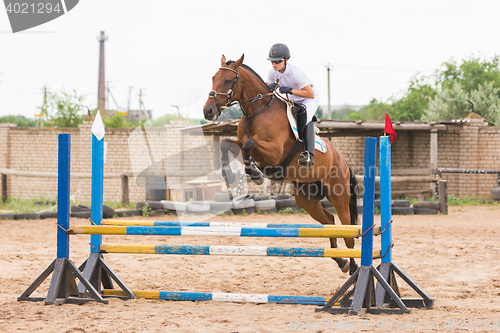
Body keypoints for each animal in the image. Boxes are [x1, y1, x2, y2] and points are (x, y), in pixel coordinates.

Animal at [203, 53, 360, 272]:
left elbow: (250, 144)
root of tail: (343, 161)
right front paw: (232, 175)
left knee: (348, 231)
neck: (257, 111)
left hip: (339, 196)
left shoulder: (274, 152)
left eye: (228, 80)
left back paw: (353, 267)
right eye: (213, 78)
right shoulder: (239, 143)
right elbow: (227, 144)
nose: (208, 111)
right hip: (306, 198)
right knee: (329, 221)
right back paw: (341, 261)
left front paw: (255, 174)